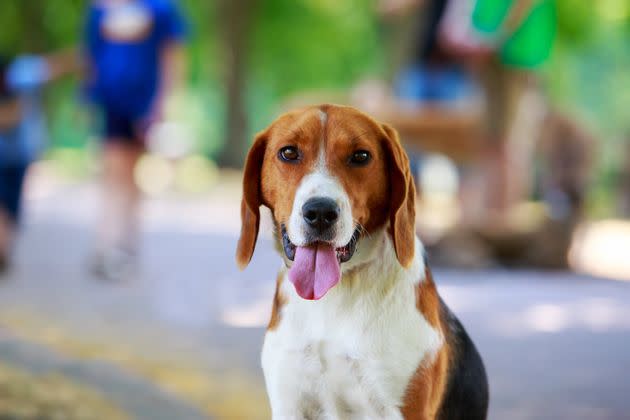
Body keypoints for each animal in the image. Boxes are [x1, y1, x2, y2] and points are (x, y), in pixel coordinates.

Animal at [237, 105, 488, 420]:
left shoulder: (400, 410)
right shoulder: (289, 403)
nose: (320, 212)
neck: (334, 294)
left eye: (360, 156)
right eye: (289, 153)